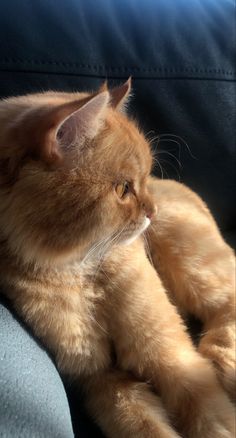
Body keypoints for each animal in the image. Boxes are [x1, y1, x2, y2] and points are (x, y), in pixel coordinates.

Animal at [0, 79, 234, 438]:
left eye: (143, 178)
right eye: (124, 188)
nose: (151, 211)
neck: (81, 270)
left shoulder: (170, 355)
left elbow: (211, 418)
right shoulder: (103, 377)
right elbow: (146, 427)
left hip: (193, 262)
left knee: (226, 304)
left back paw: (223, 359)